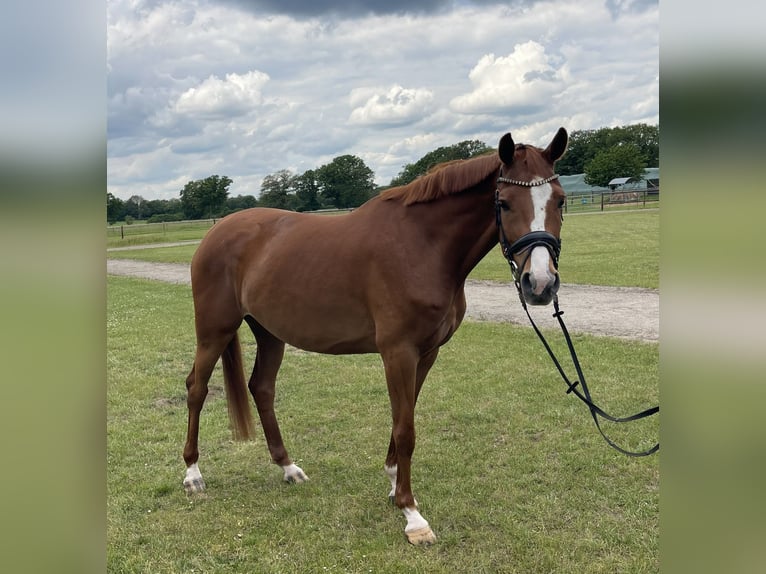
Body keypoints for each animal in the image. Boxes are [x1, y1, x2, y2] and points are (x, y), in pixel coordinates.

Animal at [182, 127, 569, 545]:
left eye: (561, 201)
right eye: (505, 203)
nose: (540, 284)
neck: (422, 245)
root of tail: (216, 231)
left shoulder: (426, 353)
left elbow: (405, 416)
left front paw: (395, 484)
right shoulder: (398, 352)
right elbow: (406, 429)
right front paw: (412, 515)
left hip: (269, 333)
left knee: (262, 388)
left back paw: (288, 467)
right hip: (214, 330)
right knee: (196, 388)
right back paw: (192, 474)